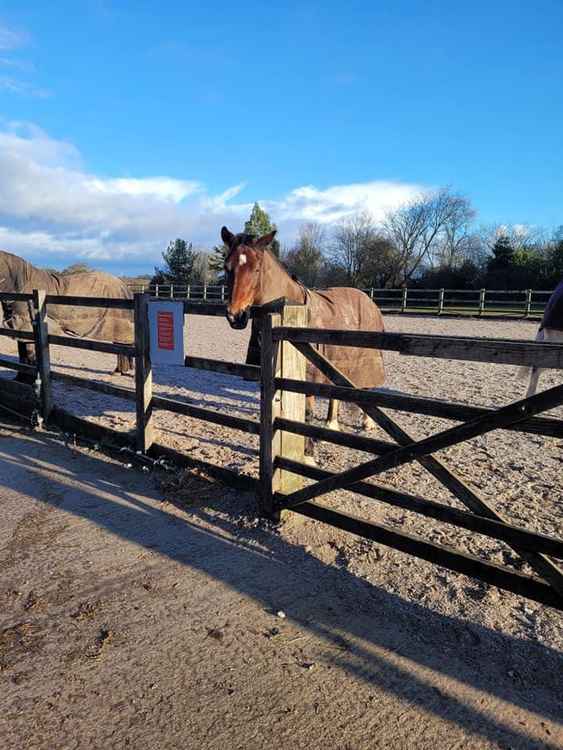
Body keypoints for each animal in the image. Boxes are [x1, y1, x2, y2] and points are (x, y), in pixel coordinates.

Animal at [0, 250, 134, 376]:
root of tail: (124, 286)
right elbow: (22, 353)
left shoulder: (27, 325)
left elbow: (29, 352)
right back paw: (121, 371)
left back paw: (119, 371)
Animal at [220, 228, 388, 446]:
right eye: (227, 268)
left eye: (256, 270)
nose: (235, 315)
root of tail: (368, 299)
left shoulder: (307, 378)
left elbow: (305, 416)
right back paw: (331, 424)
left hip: (366, 358)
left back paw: (367, 423)